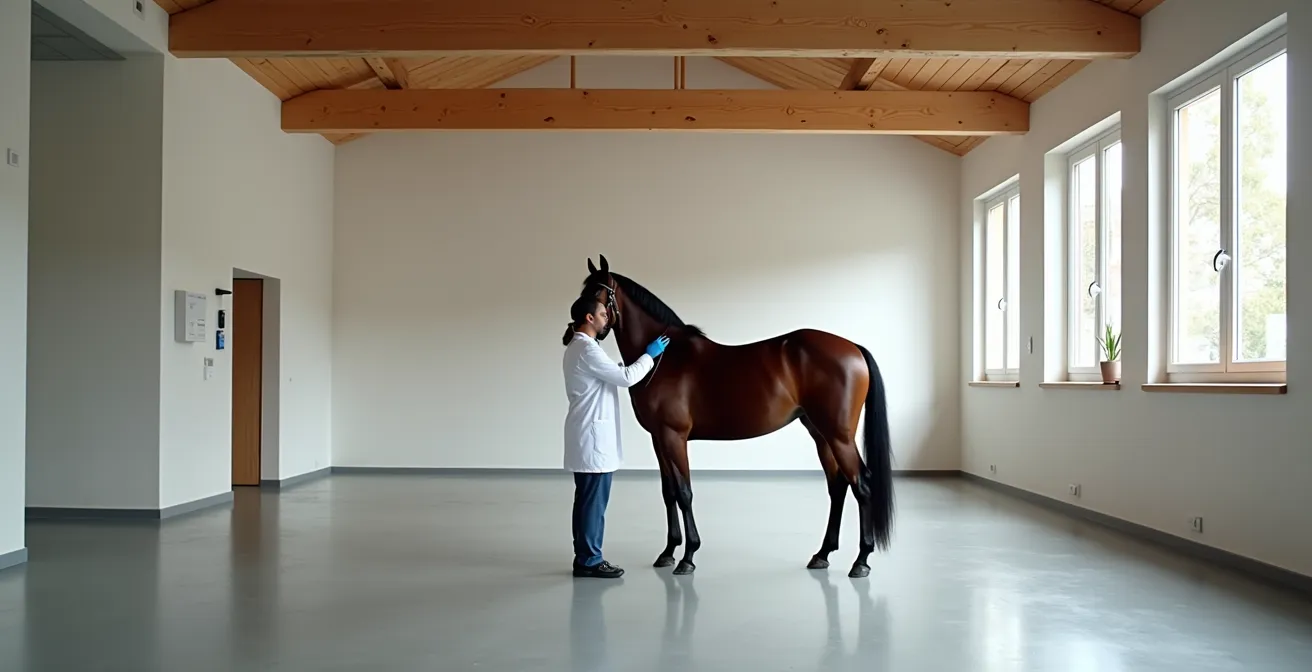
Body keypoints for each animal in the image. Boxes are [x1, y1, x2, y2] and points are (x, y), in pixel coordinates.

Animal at [574, 254, 894, 578]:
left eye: (598, 293)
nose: (576, 321)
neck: (664, 358)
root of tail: (853, 348)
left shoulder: (674, 436)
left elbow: (684, 492)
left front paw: (688, 557)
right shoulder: (658, 438)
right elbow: (668, 492)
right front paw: (668, 552)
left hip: (839, 437)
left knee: (862, 486)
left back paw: (861, 561)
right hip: (821, 434)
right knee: (838, 487)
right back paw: (823, 554)